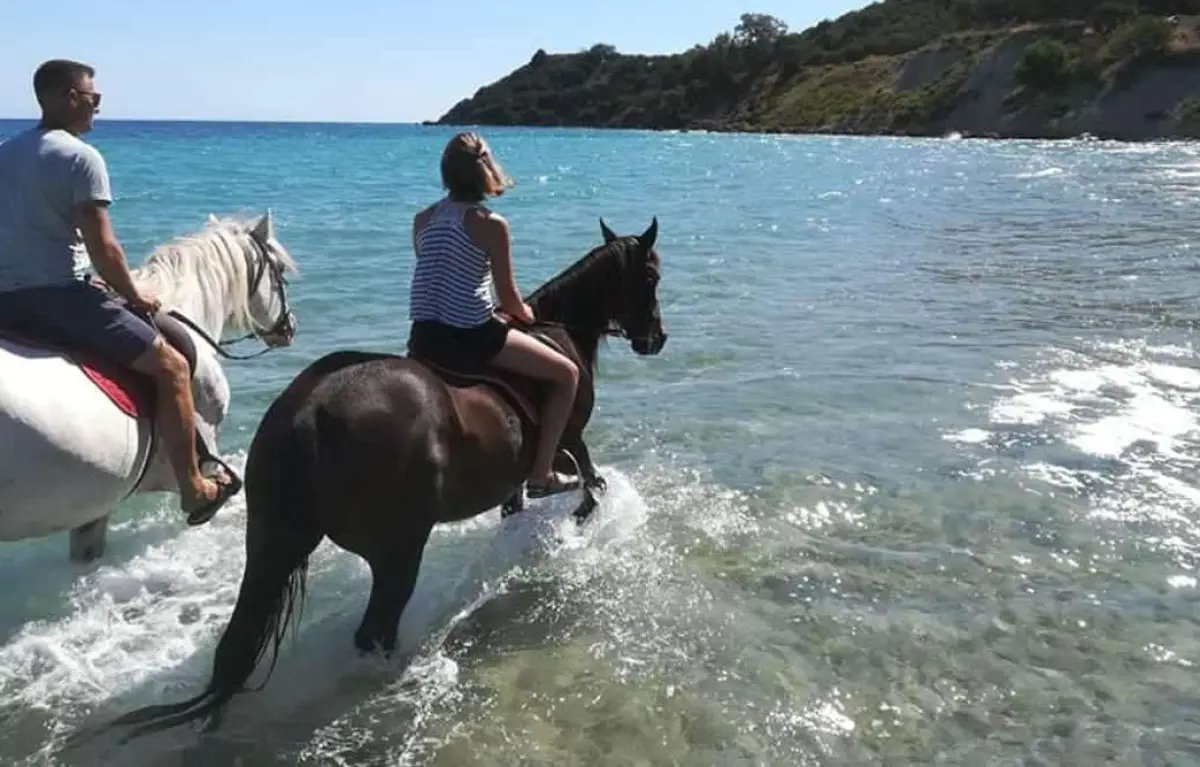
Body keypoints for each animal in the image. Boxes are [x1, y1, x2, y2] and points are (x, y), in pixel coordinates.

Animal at [102, 217, 667, 744]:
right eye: (652, 275)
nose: (655, 340)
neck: (559, 329)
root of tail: (308, 413)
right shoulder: (571, 440)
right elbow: (592, 484)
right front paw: (579, 519)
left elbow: (523, 504)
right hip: (398, 549)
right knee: (376, 630)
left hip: (272, 539)